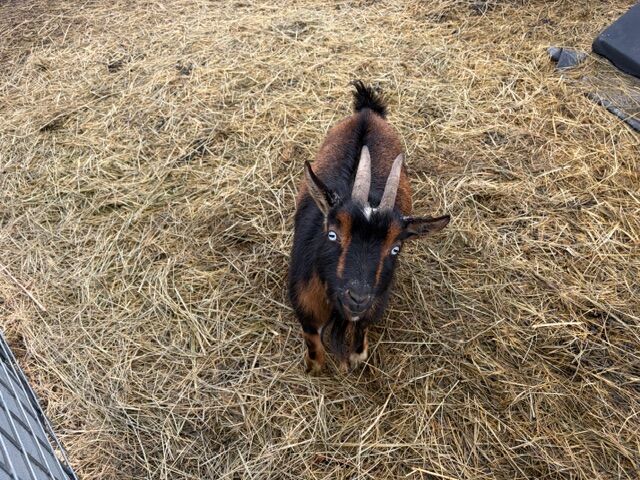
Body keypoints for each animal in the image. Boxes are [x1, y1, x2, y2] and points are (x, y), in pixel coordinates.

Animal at [288, 81, 450, 373]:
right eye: (332, 233)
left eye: (396, 248)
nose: (358, 297)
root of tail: (366, 112)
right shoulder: (304, 304)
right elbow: (312, 341)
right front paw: (314, 368)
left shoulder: (375, 302)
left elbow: (361, 331)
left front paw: (356, 355)